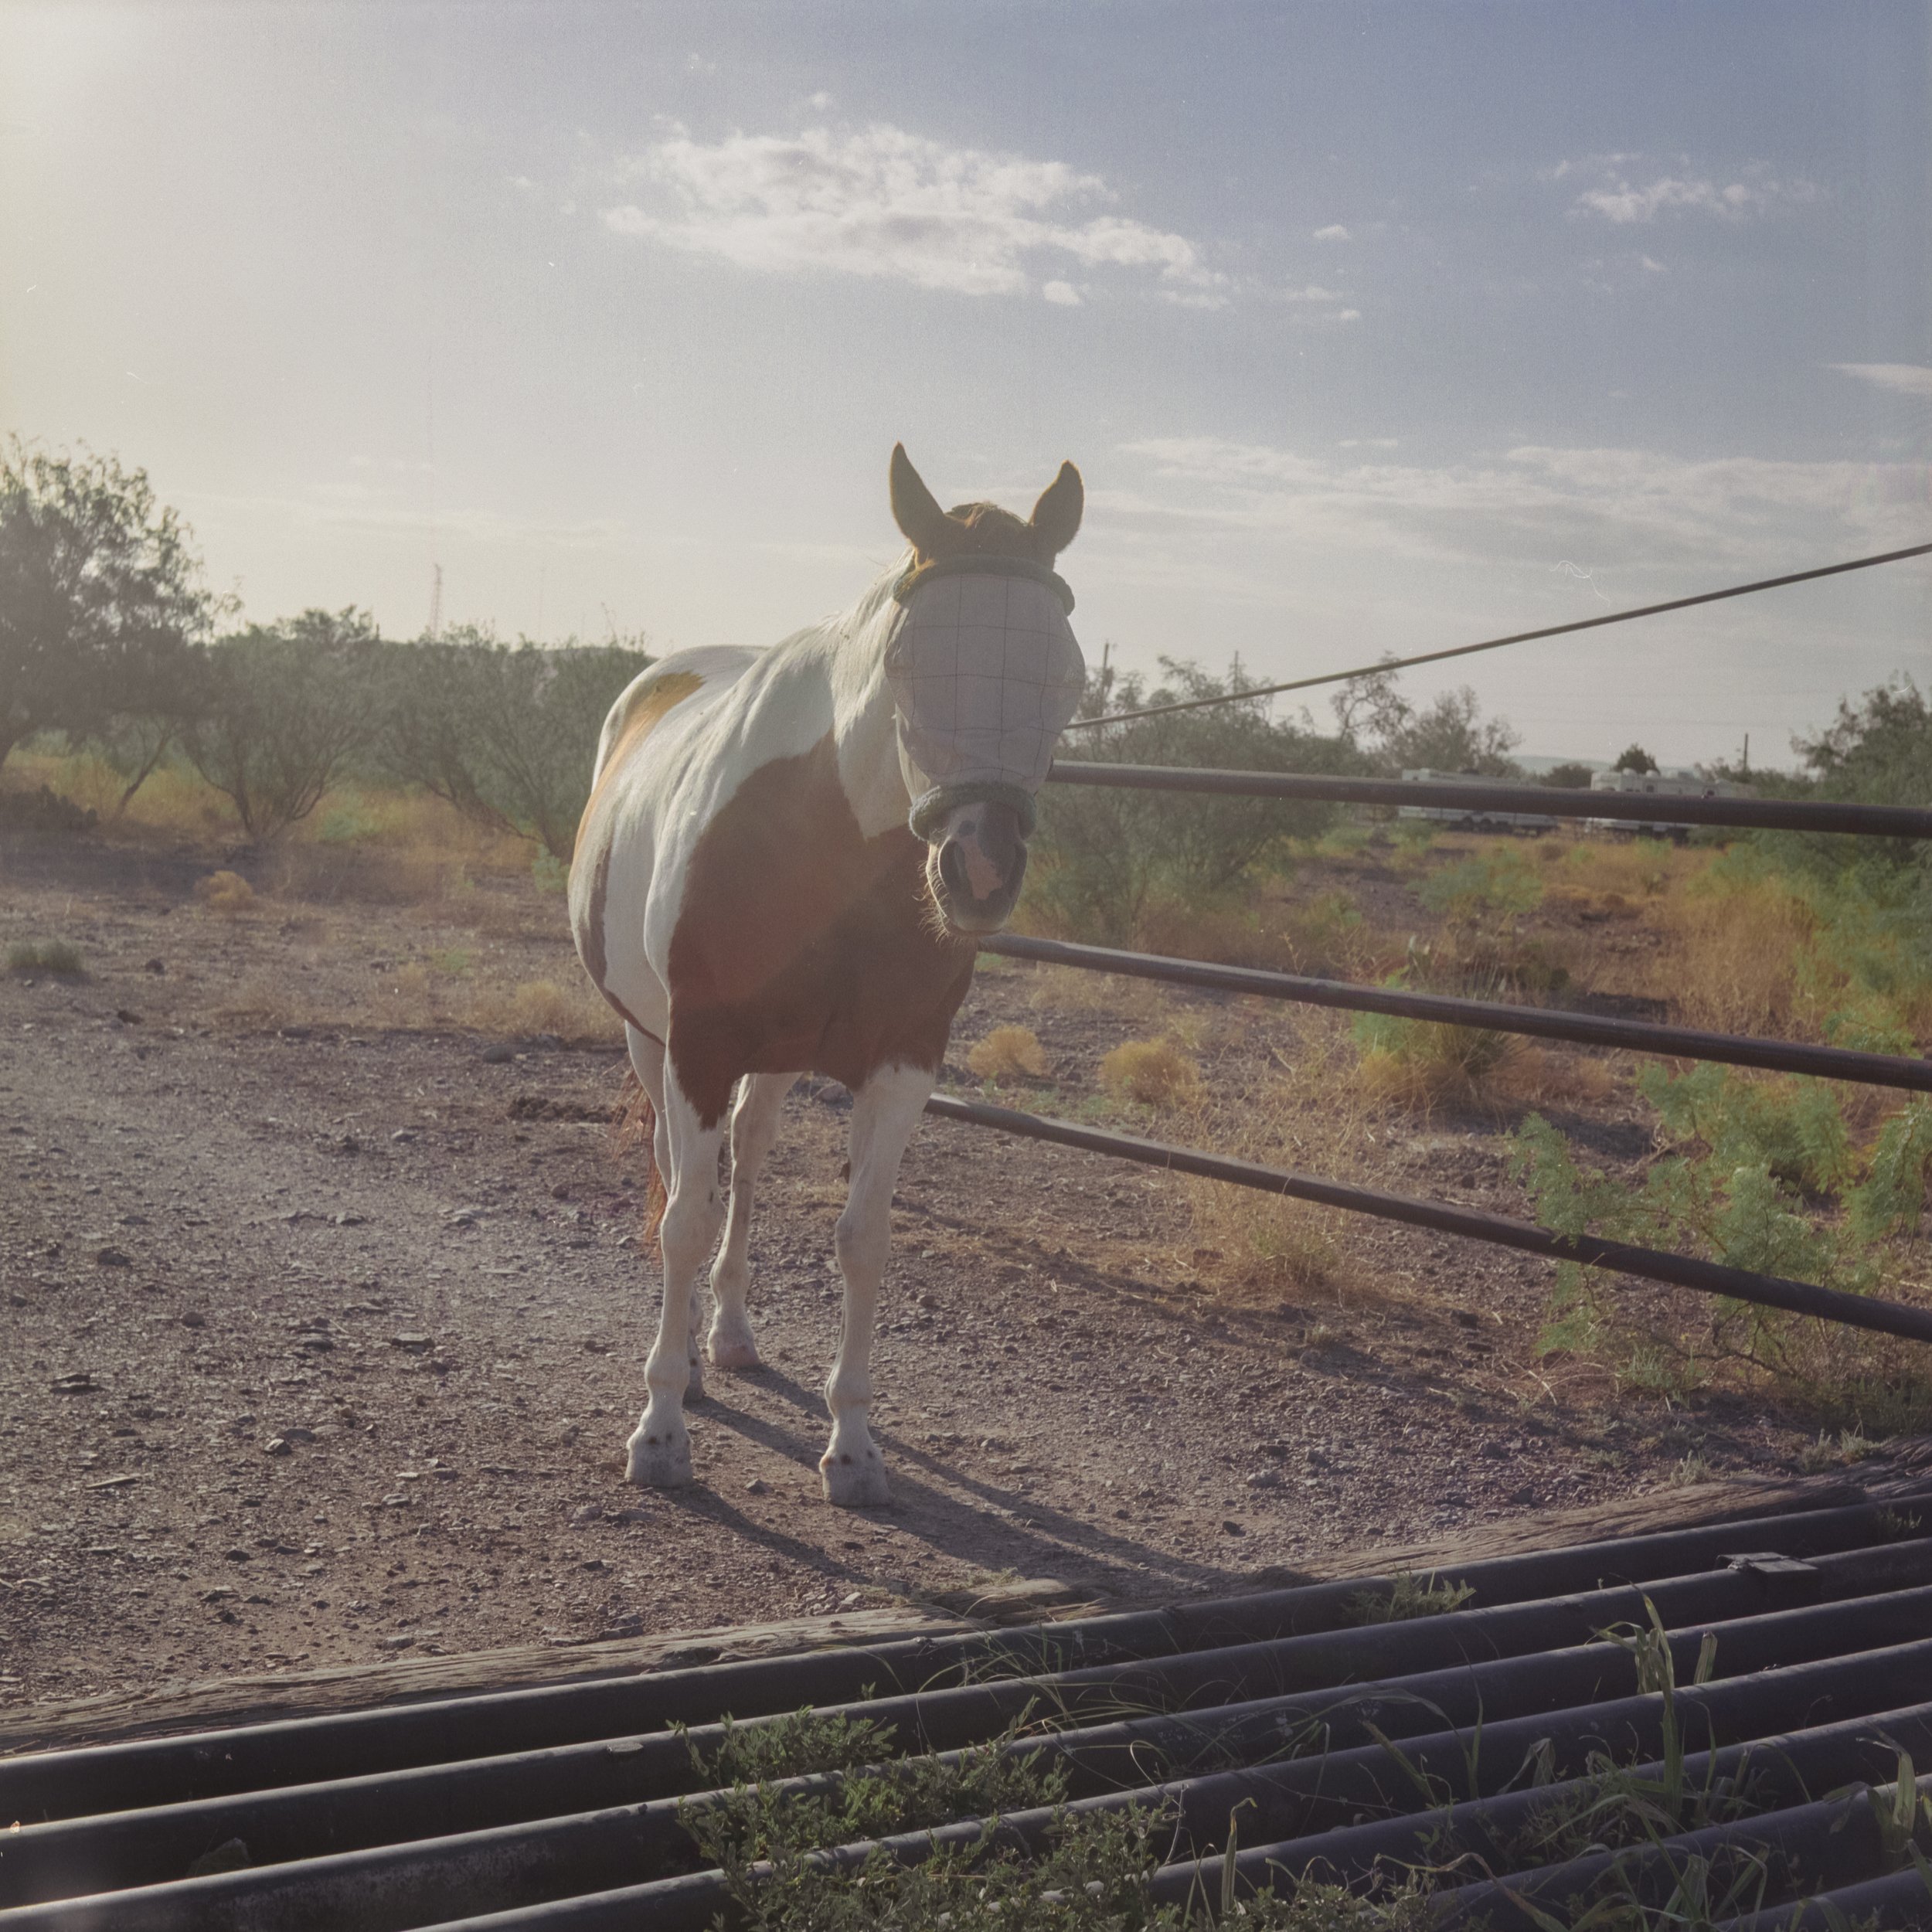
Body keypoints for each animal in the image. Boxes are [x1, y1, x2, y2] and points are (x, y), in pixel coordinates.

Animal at [568, 444, 1090, 1499]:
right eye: (903, 662)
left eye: (1065, 675)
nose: (978, 869)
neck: (822, 836)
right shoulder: (697, 1045)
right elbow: (684, 1220)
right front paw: (660, 1431)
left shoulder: (902, 1061)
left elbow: (861, 1239)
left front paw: (853, 1446)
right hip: (650, 1039)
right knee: (684, 1179)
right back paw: (690, 1361)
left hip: (769, 1061)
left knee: (750, 1155)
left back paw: (727, 1334)